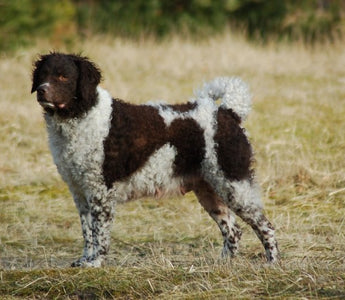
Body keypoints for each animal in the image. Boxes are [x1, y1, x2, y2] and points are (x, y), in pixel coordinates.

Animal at [29, 52, 278, 268]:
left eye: (64, 76)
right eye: (43, 75)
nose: (41, 91)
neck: (83, 115)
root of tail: (227, 112)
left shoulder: (100, 192)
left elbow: (100, 235)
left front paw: (96, 263)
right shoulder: (80, 192)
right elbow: (88, 232)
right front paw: (84, 261)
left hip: (234, 186)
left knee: (266, 226)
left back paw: (272, 263)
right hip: (210, 191)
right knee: (233, 231)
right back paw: (223, 264)